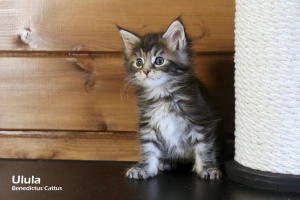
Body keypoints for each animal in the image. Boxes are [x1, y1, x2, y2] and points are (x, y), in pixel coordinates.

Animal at [117, 18, 223, 179]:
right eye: (139, 62)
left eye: (159, 61)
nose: (146, 71)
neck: (163, 94)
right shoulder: (148, 124)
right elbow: (148, 148)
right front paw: (144, 168)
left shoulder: (200, 120)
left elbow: (204, 147)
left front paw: (207, 168)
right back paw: (168, 161)